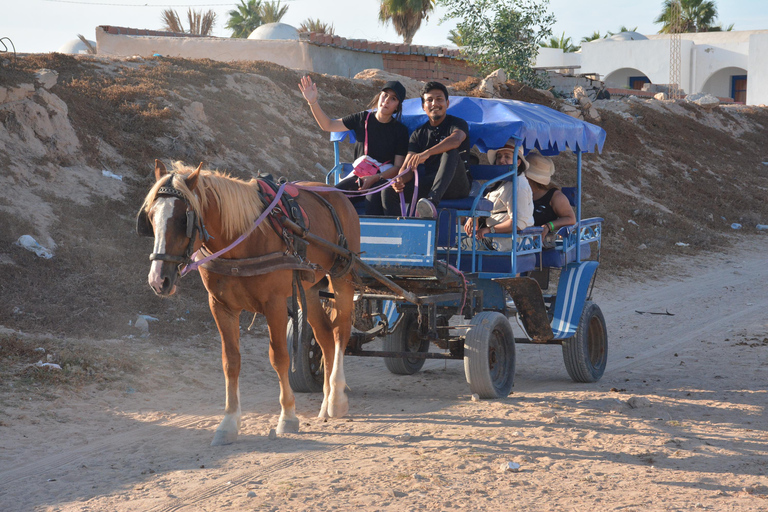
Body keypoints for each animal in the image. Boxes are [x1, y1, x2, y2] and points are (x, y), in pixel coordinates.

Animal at [137, 160, 360, 444]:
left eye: (182, 219)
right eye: (151, 217)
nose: (158, 280)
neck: (241, 240)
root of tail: (336, 192)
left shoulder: (274, 304)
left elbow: (279, 358)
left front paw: (288, 417)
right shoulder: (220, 306)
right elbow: (230, 362)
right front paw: (229, 422)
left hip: (343, 277)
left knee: (341, 331)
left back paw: (337, 399)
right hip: (309, 289)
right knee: (324, 337)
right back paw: (326, 400)